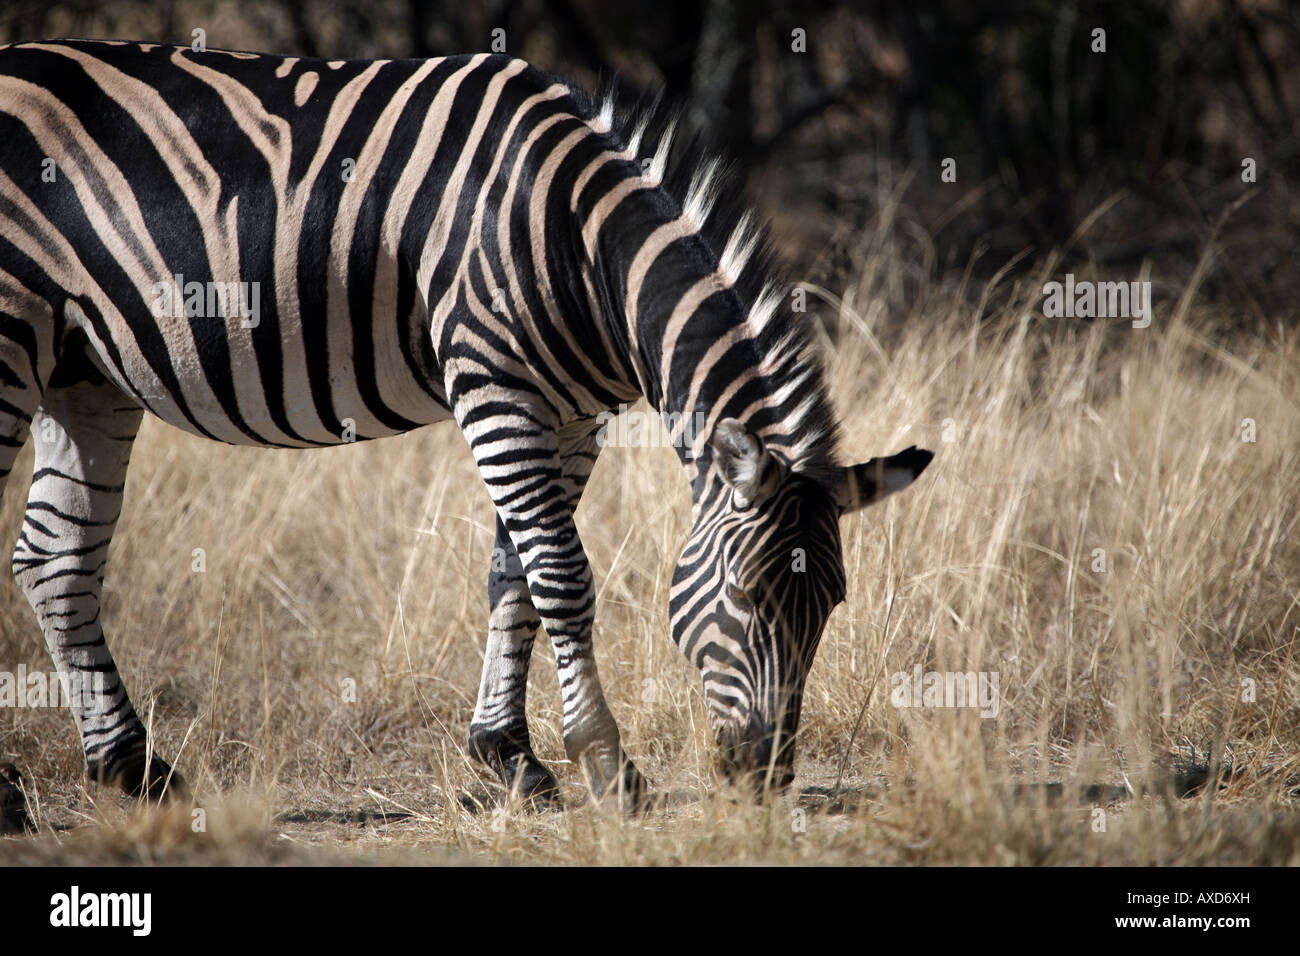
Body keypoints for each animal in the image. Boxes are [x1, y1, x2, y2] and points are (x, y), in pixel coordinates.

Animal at [0, 39, 932, 815]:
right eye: (746, 595)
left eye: (832, 604)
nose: (763, 777)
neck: (579, 243)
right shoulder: (494, 385)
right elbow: (561, 575)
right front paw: (605, 764)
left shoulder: (572, 416)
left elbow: (512, 576)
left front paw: (511, 757)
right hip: (12, 335)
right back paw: (23, 796)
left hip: (84, 372)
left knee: (54, 560)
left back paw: (133, 769)